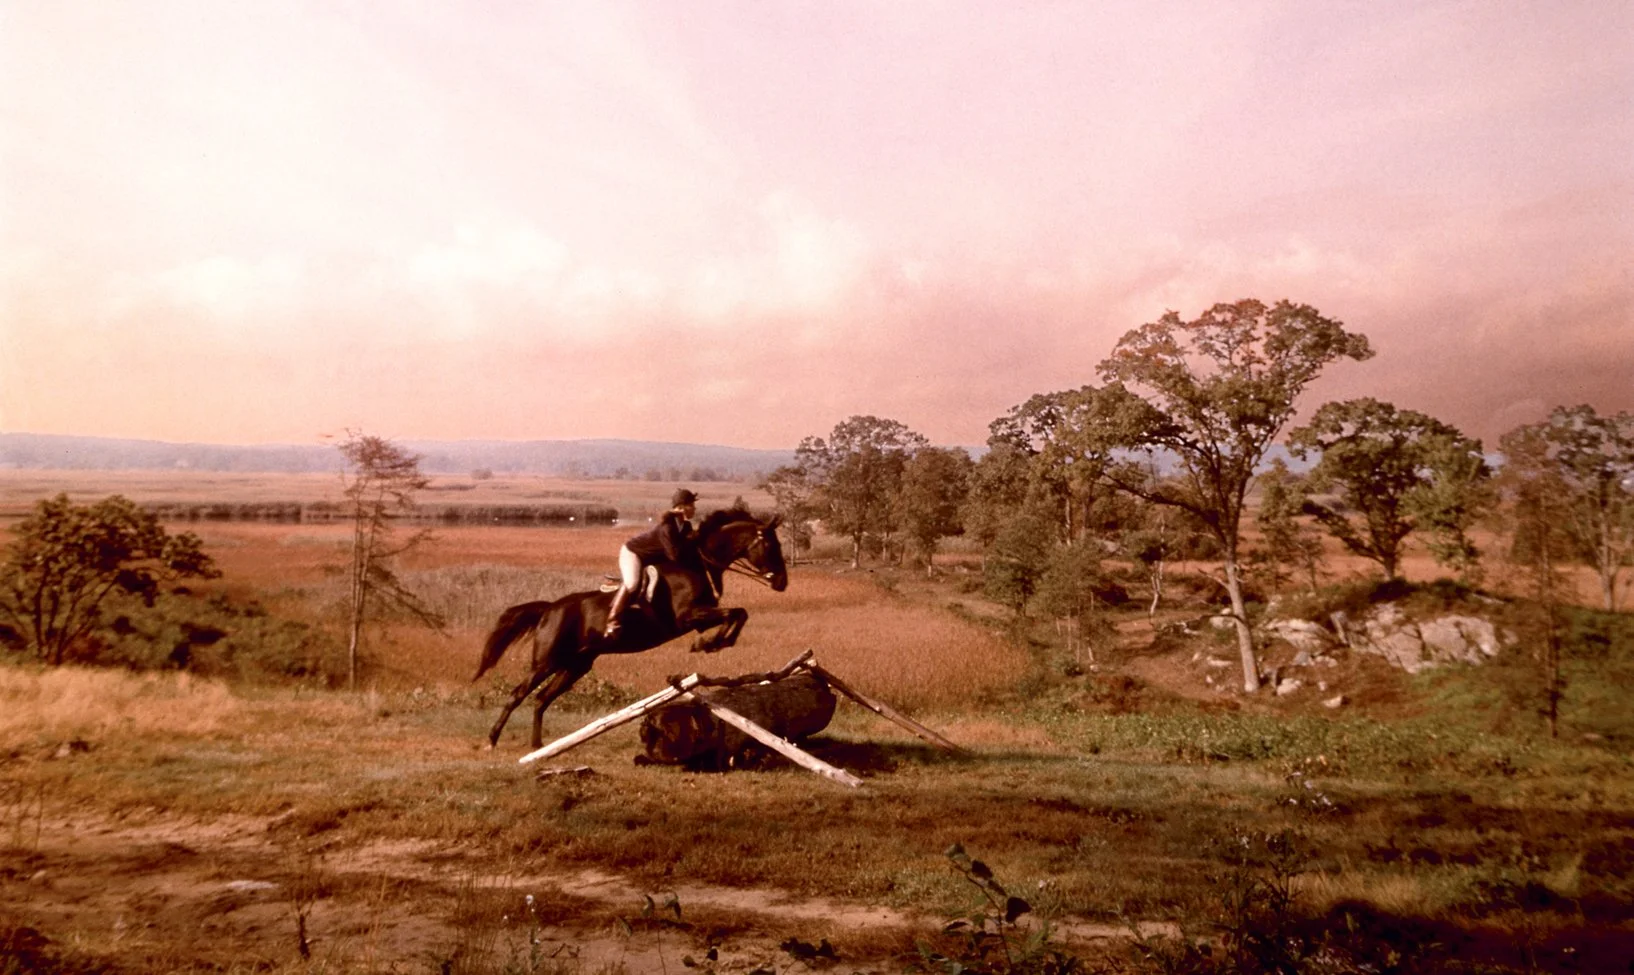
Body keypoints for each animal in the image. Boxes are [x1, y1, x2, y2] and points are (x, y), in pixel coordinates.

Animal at [474, 508, 788, 749]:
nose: (782, 583)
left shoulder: (699, 619)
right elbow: (735, 613)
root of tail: (550, 608)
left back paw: (537, 745)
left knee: (541, 699)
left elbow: (739, 614)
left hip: (575, 666)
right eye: (771, 546)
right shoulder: (689, 617)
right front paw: (707, 644)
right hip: (547, 660)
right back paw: (492, 739)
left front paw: (715, 643)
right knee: (519, 694)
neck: (696, 564)